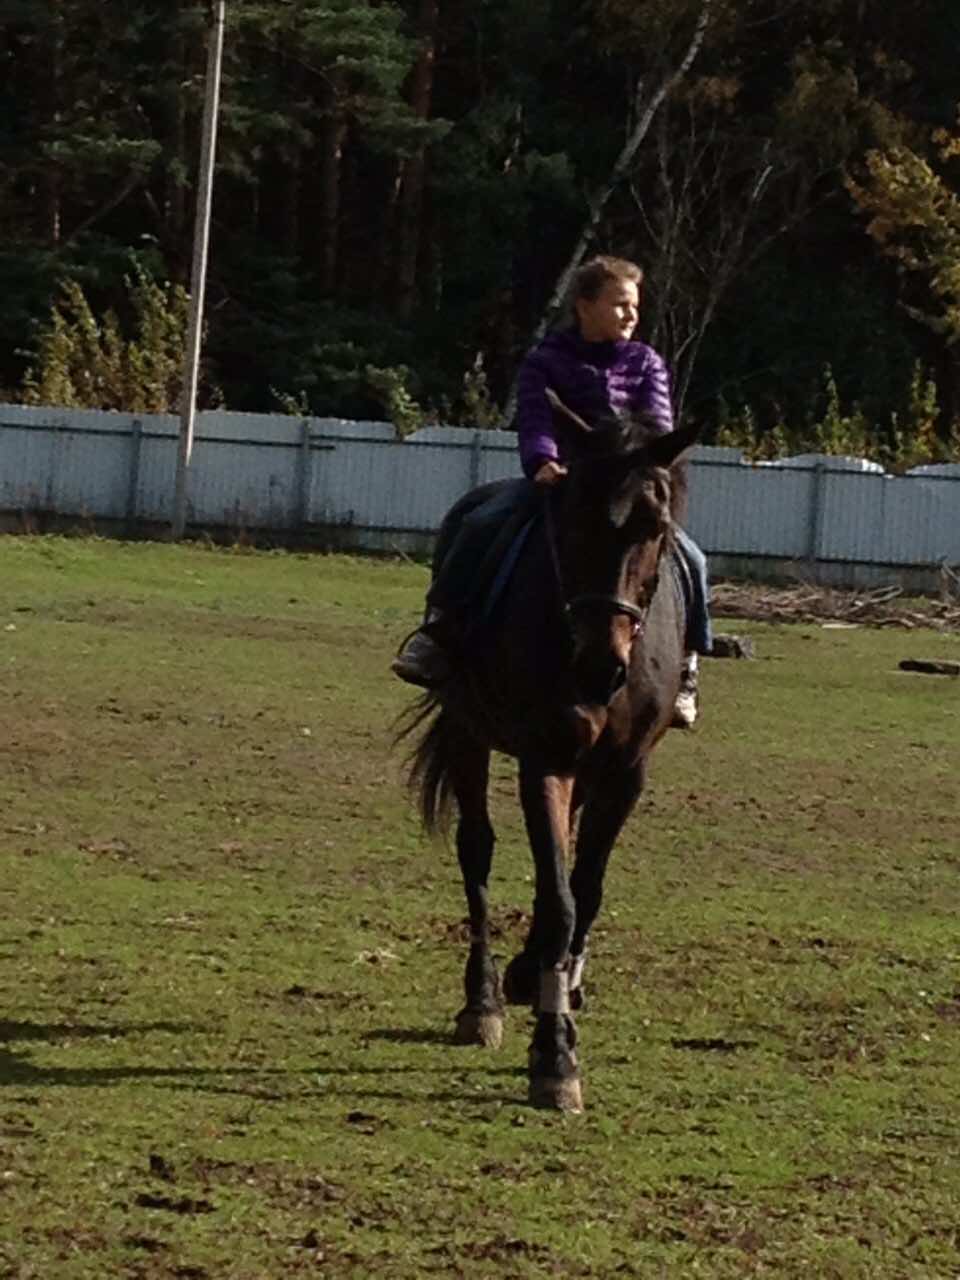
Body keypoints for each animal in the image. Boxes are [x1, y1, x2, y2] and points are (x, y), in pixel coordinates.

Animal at [400, 402, 700, 1111]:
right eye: (569, 518)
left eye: (655, 527)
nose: (598, 667)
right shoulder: (546, 759)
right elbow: (559, 899)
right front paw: (554, 1054)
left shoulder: (623, 776)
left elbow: (581, 891)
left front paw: (550, 986)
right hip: (467, 730)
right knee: (476, 850)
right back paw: (482, 1000)